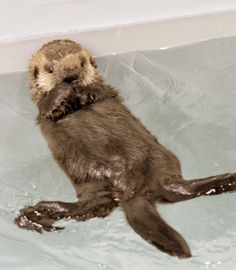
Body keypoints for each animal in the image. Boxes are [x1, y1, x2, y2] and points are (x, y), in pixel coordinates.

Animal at [15, 39, 236, 258]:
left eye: (82, 63)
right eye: (50, 69)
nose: (70, 76)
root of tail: (132, 189)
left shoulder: (108, 90)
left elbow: (99, 90)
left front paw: (84, 92)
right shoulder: (43, 111)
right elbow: (47, 107)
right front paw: (63, 91)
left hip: (159, 160)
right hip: (95, 184)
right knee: (93, 207)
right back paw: (35, 213)